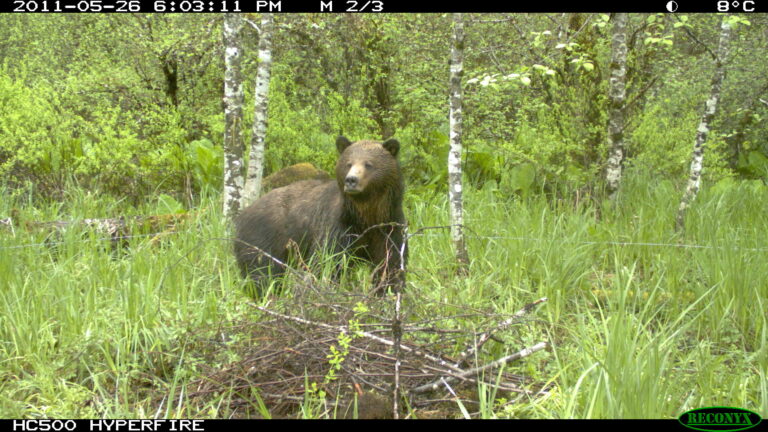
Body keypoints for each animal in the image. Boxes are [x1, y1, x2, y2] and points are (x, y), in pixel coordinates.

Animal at [233, 136, 407, 295]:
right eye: (348, 163)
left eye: (368, 164)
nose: (351, 180)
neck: (366, 214)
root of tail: (242, 215)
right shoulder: (338, 226)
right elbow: (327, 261)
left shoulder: (389, 227)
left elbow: (391, 263)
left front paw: (389, 291)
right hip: (262, 239)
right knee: (262, 273)